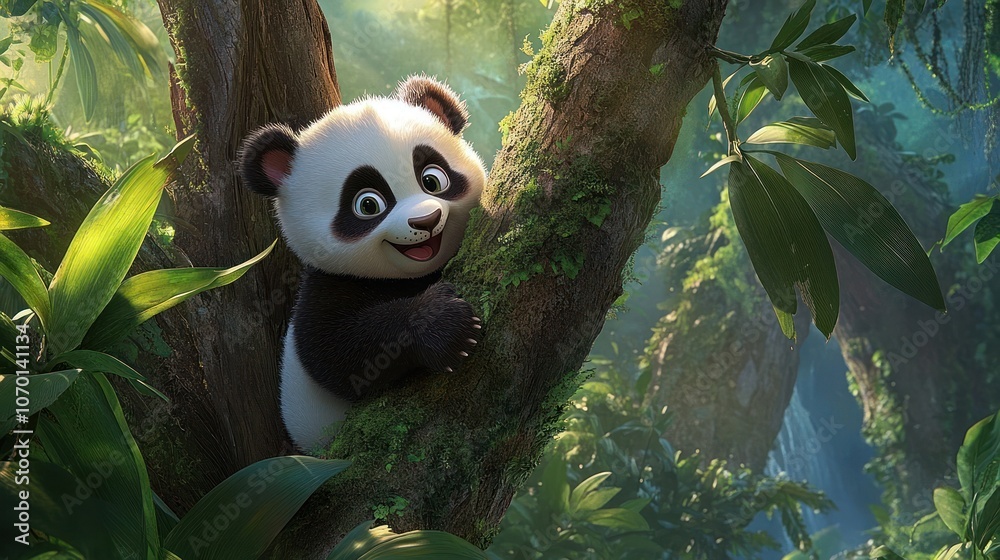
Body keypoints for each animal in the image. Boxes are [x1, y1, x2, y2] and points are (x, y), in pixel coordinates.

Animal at [239, 76, 487, 450]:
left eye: (432, 180)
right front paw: (445, 322)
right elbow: (340, 354)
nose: (426, 221)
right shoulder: (326, 286)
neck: (411, 276)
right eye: (368, 205)